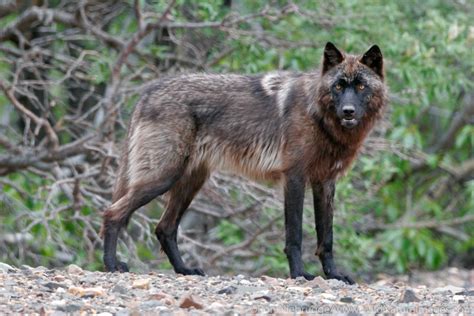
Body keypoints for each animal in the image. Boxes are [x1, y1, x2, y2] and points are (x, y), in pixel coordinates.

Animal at [102, 42, 386, 284]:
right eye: (338, 86)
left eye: (361, 87)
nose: (348, 111)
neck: (319, 116)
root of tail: (147, 92)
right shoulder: (294, 178)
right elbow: (295, 234)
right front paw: (299, 274)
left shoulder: (325, 182)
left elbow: (326, 238)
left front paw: (333, 275)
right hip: (163, 178)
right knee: (113, 213)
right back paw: (111, 265)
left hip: (189, 183)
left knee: (164, 228)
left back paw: (184, 270)